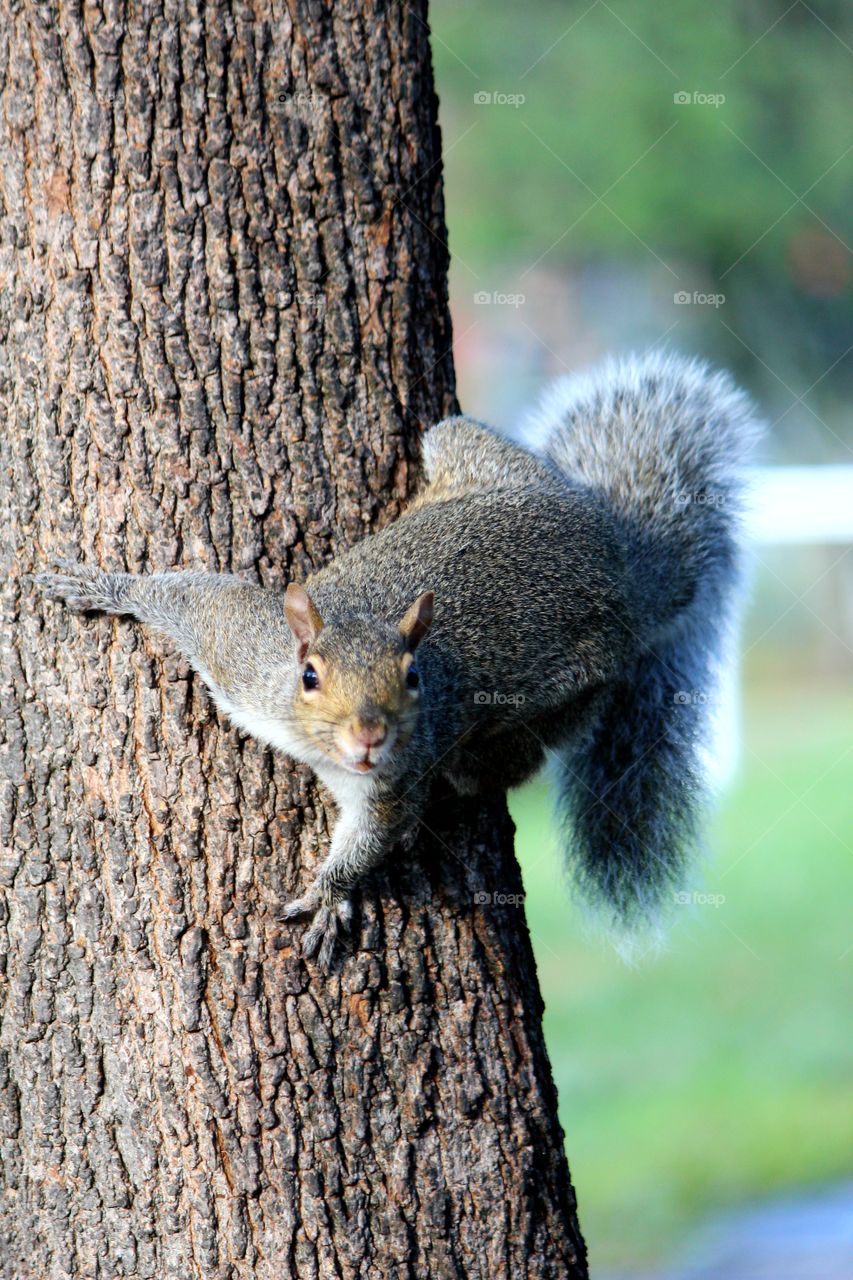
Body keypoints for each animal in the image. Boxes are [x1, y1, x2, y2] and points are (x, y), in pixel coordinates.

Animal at [36, 351, 761, 966]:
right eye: (308, 676)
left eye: (413, 678)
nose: (369, 737)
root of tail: (619, 565)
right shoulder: (243, 649)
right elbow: (191, 596)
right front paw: (104, 586)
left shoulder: (393, 774)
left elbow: (372, 836)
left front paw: (330, 895)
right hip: (467, 447)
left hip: (573, 689)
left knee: (507, 761)